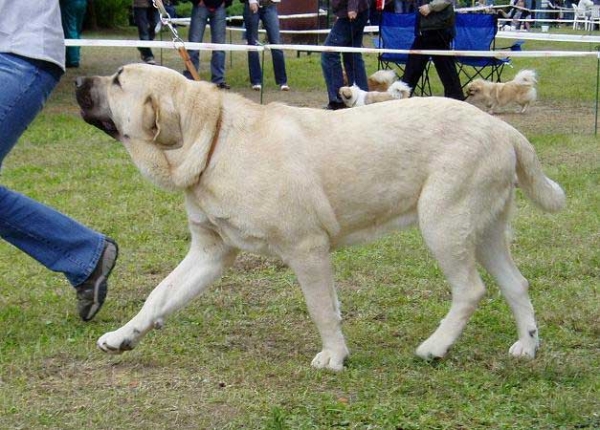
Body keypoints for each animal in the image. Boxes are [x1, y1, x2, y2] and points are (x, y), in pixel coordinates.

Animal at [76, 65, 568, 372]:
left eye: (117, 81)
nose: (78, 78)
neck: (214, 140)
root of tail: (503, 128)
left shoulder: (306, 248)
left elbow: (320, 309)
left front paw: (333, 356)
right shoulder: (210, 252)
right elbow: (159, 296)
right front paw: (123, 336)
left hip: (443, 224)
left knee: (471, 290)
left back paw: (434, 347)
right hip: (482, 232)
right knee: (516, 285)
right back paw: (526, 345)